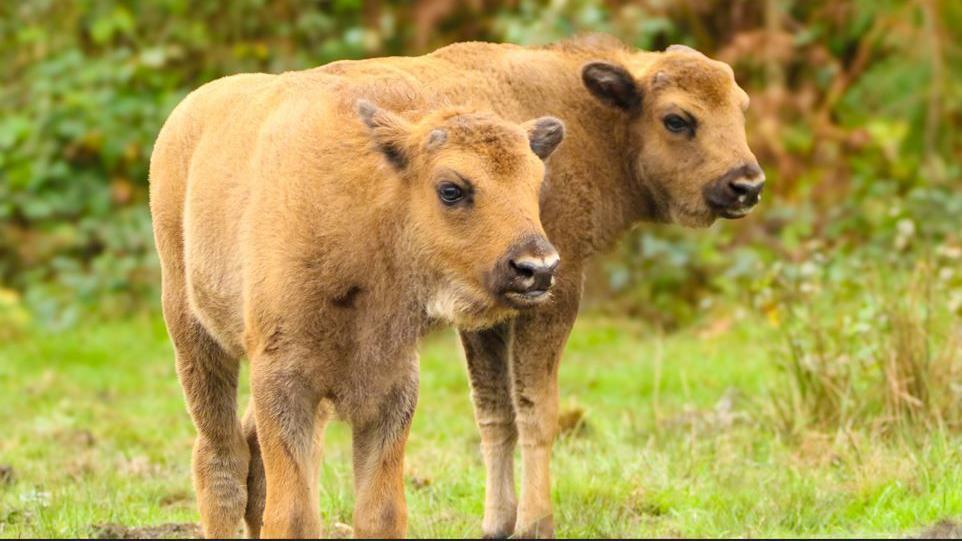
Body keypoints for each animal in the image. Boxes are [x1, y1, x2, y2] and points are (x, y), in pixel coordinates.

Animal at [150, 75, 564, 536]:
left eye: (535, 183)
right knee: (221, 460)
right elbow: (292, 514)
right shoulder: (282, 381)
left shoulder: (391, 387)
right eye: (451, 189)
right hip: (194, 335)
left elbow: (380, 511)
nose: (538, 268)